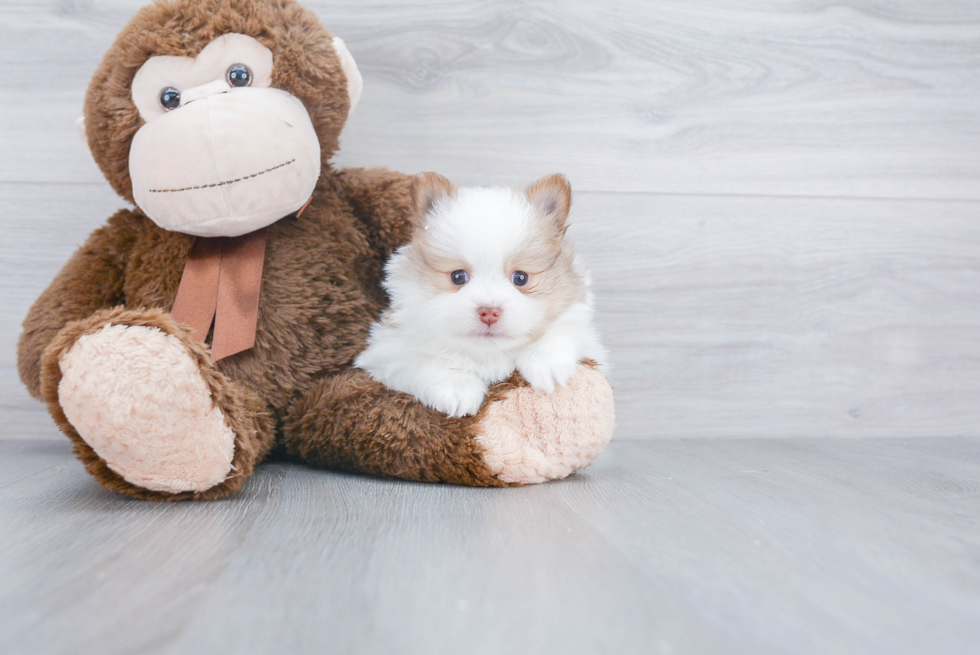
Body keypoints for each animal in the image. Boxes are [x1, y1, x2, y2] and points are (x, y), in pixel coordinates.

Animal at [356, 172, 608, 418]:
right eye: (458, 277)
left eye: (520, 278)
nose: (489, 312)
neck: (489, 354)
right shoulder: (386, 352)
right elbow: (424, 360)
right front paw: (456, 387)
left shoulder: (587, 338)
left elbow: (563, 329)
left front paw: (545, 361)